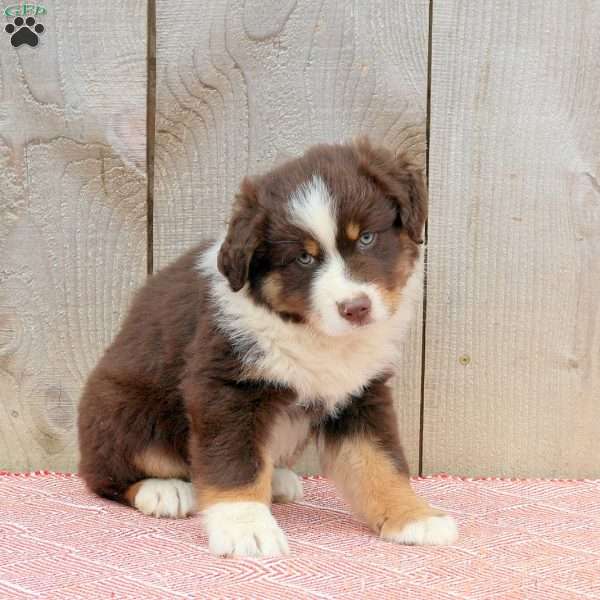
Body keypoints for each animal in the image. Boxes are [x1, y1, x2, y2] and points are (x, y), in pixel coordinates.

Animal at [78, 138, 454, 556]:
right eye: (304, 258)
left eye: (367, 238)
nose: (356, 308)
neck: (311, 332)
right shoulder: (227, 387)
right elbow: (235, 462)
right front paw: (246, 528)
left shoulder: (360, 393)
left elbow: (380, 461)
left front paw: (414, 516)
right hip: (123, 408)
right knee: (107, 474)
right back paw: (164, 491)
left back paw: (276, 479)